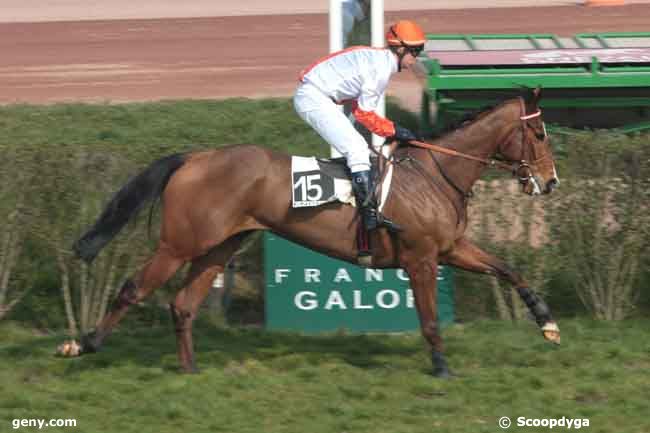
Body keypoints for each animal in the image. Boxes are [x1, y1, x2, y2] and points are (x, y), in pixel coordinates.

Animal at [67, 87, 560, 374]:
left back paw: (188, 370)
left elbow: (509, 269)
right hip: (179, 243)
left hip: (220, 246)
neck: (434, 173)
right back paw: (84, 343)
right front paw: (440, 366)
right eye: (539, 134)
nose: (550, 181)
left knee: (183, 304)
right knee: (133, 289)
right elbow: (430, 318)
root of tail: (195, 157)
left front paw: (547, 323)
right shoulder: (421, 257)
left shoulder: (451, 247)